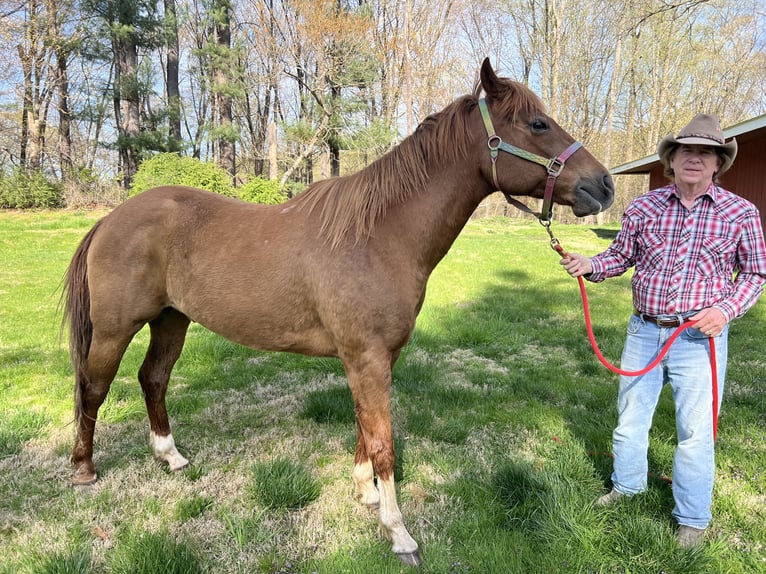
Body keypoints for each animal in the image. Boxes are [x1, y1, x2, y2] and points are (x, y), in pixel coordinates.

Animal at [62, 59, 614, 567]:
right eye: (537, 124)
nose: (604, 185)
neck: (378, 237)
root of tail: (111, 218)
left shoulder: (376, 358)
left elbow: (365, 430)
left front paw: (365, 493)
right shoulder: (366, 359)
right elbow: (384, 442)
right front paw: (398, 532)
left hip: (172, 319)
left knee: (153, 378)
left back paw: (171, 457)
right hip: (115, 329)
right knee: (94, 387)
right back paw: (83, 469)